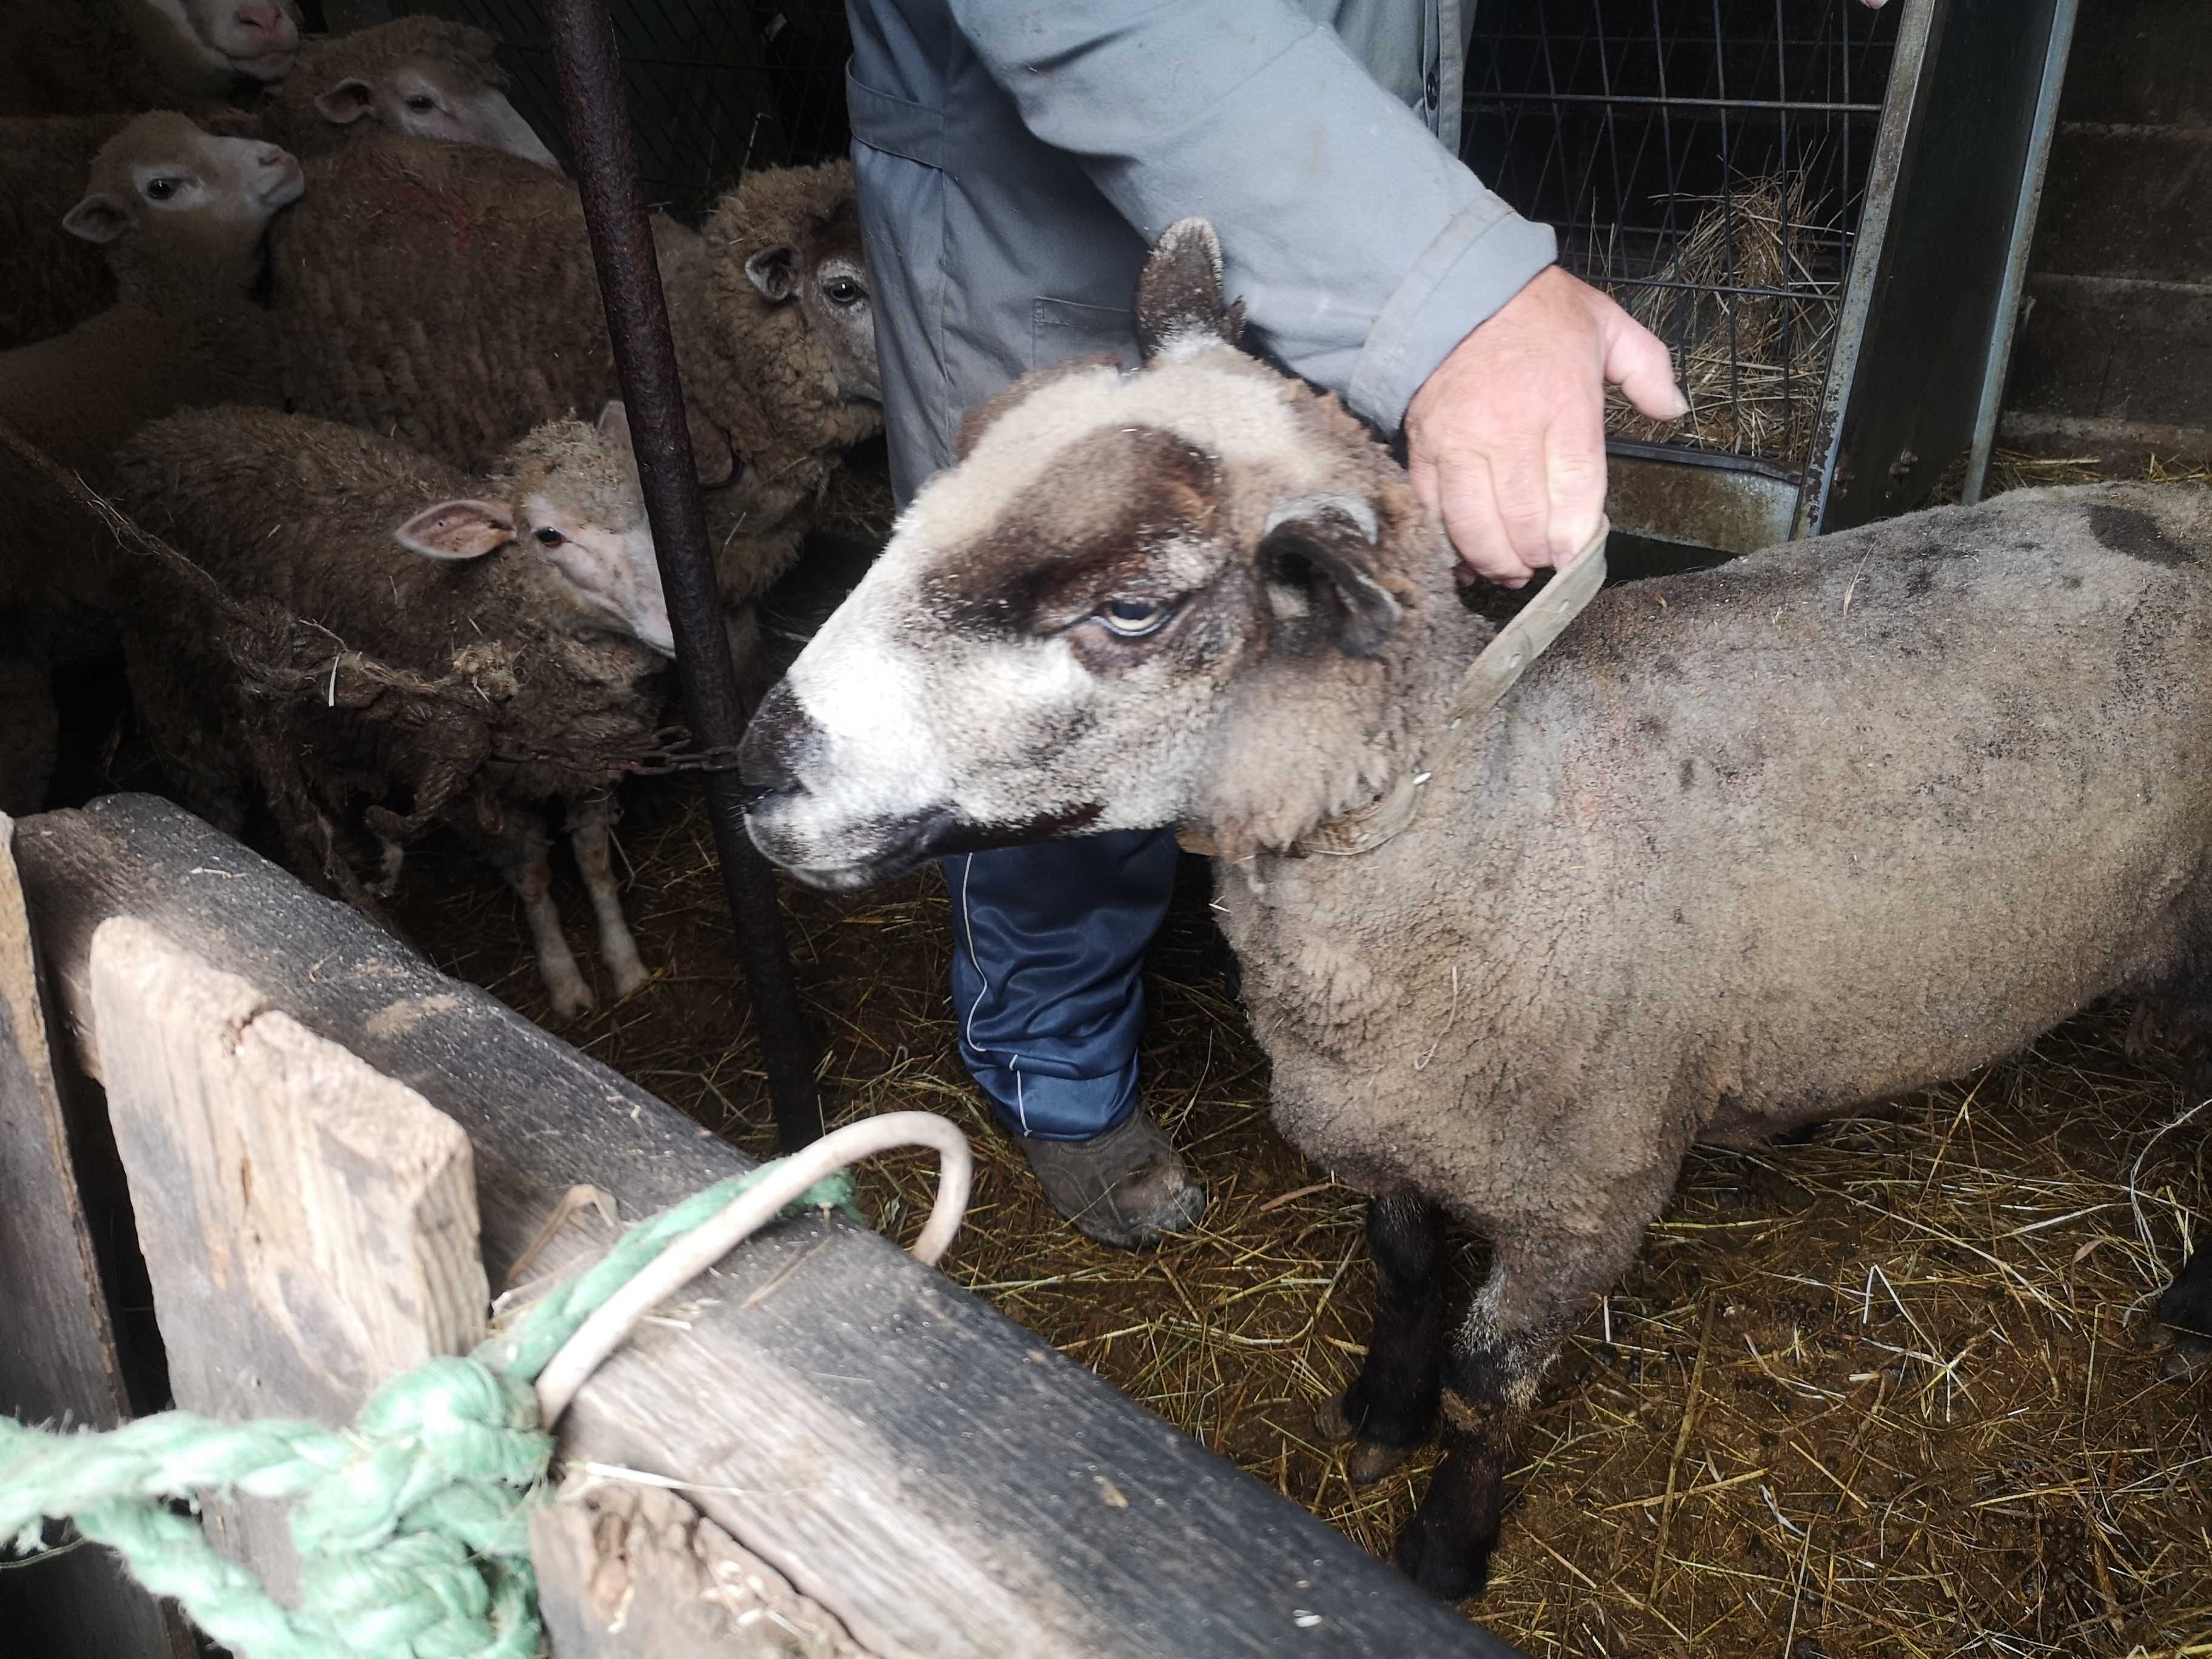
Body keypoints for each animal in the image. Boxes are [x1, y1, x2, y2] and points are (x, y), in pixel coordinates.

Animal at [110, 404, 672, 1026]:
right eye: (549, 536)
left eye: (650, 504)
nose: (672, 623)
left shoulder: (591, 761)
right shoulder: (468, 791)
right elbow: (533, 877)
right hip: (174, 700)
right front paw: (565, 981)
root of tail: (163, 429)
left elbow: (595, 863)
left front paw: (625, 965)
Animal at [739, 218, 2212, 1601]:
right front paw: (1378, 1413)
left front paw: (1446, 1546)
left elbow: (1488, 1380)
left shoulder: (1583, 1205)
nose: (757, 769)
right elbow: (1402, 1276)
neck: (1473, 818)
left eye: (1134, 608)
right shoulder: (1389, 1134)